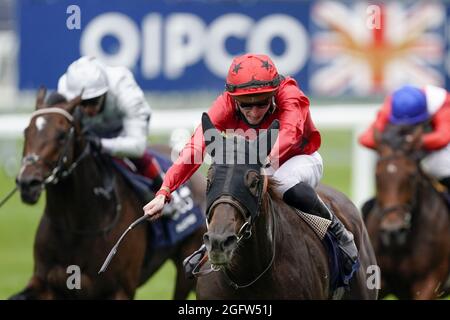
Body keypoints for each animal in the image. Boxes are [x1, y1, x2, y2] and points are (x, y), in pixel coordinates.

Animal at [10, 88, 207, 300]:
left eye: (62, 135)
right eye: (26, 131)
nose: (28, 183)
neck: (77, 229)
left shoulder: (120, 290)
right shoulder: (45, 284)